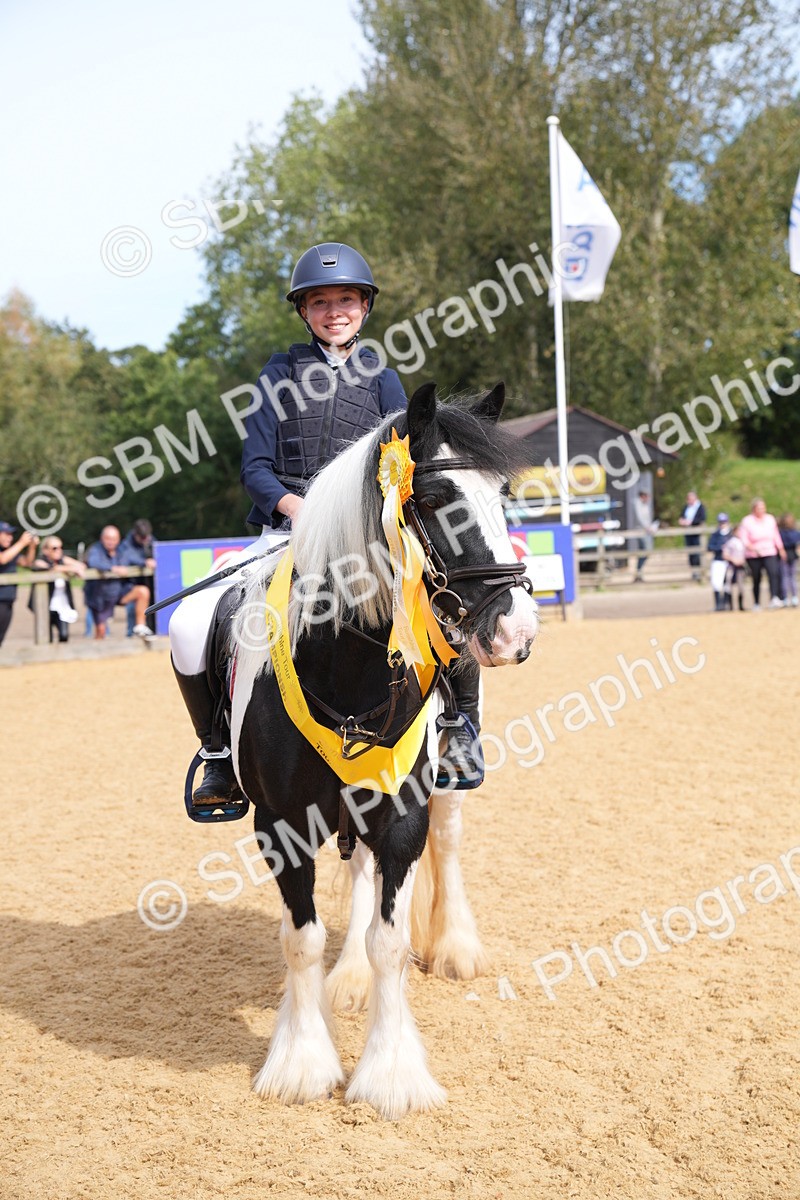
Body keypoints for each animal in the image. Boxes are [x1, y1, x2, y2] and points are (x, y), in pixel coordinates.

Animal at [226, 380, 539, 1119]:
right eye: (436, 498)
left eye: (503, 494)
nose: (517, 631)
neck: (346, 668)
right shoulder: (281, 823)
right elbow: (302, 938)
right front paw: (301, 1062)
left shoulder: (402, 812)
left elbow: (392, 942)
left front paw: (391, 1074)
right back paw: (349, 979)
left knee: (447, 844)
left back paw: (456, 947)